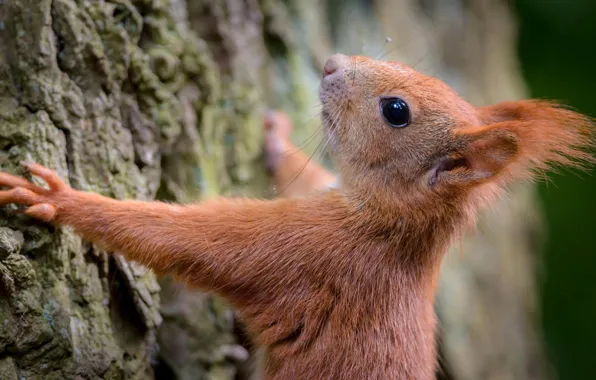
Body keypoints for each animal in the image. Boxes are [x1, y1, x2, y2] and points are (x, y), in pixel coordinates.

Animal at [0, 54, 592, 380]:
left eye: (396, 110)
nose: (330, 63)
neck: (387, 219)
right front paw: (275, 138)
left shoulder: (307, 250)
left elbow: (191, 240)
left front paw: (63, 199)